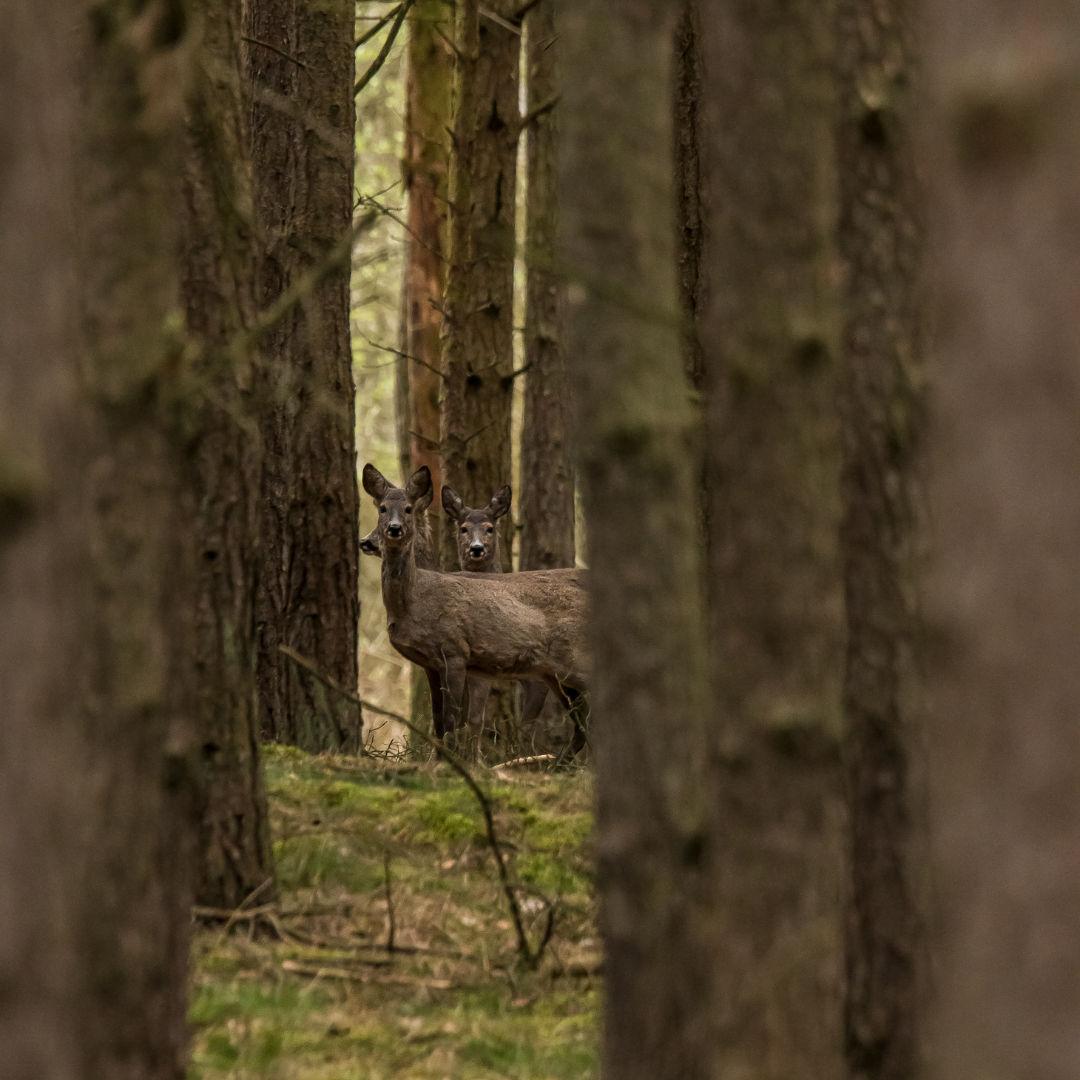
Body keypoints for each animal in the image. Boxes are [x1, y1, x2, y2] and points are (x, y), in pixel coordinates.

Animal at [362, 464, 587, 751]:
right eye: (381, 508)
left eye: (409, 509)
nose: (391, 529)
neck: (414, 598)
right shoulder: (431, 664)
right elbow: (440, 722)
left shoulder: (457, 651)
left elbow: (457, 722)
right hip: (554, 675)